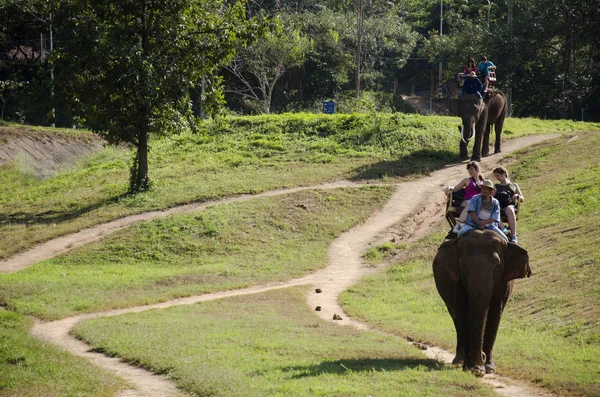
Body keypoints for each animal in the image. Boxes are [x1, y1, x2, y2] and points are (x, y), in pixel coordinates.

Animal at [432, 229, 528, 374]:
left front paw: (489, 368)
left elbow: (495, 314)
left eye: (497, 265)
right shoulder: (457, 282)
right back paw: (458, 360)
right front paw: (470, 367)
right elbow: (464, 313)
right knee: (456, 318)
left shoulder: (504, 283)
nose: (482, 356)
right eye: (463, 265)